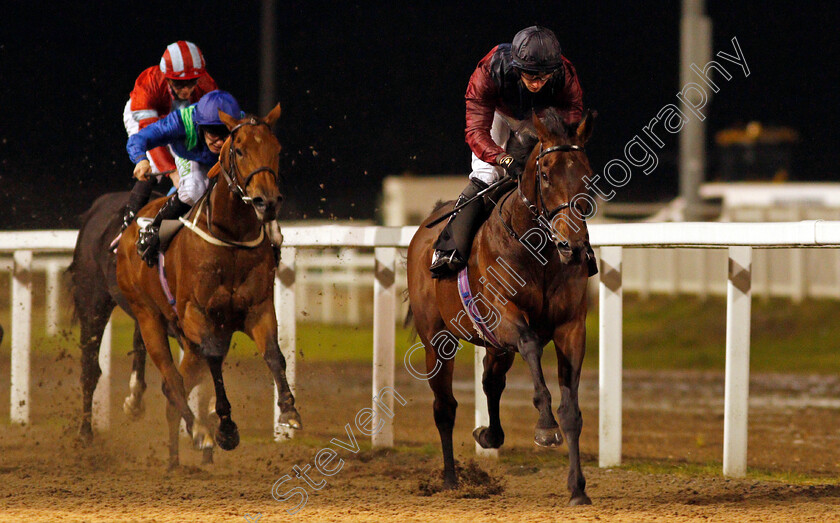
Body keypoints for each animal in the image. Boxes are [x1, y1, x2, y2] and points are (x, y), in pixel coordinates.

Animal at [116, 104, 300, 468]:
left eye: (277, 149)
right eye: (239, 149)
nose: (267, 201)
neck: (230, 238)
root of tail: (131, 227)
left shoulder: (256, 309)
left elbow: (274, 354)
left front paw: (288, 409)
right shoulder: (196, 314)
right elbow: (215, 361)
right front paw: (225, 427)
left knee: (176, 387)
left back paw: (176, 457)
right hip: (149, 317)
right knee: (172, 381)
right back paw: (199, 432)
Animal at [408, 108, 596, 506]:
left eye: (586, 172)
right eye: (545, 174)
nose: (572, 247)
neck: (539, 252)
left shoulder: (571, 326)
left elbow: (572, 411)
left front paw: (578, 489)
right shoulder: (506, 318)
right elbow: (530, 345)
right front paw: (545, 428)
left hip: (493, 345)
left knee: (490, 382)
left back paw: (489, 435)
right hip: (436, 338)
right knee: (444, 406)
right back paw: (451, 479)